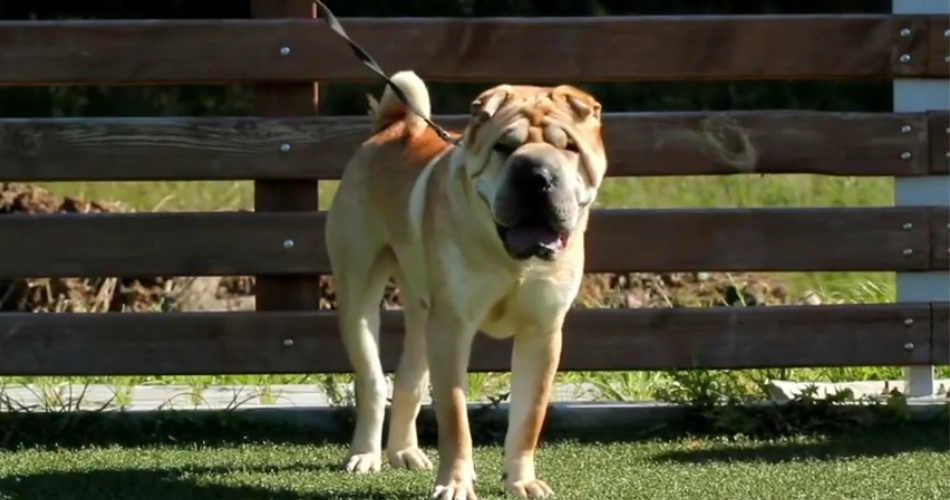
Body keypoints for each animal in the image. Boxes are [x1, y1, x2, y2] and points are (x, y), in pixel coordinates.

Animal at [328, 70, 608, 500]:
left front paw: (522, 481)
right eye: (504, 147)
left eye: (569, 147)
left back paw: (405, 453)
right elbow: (455, 416)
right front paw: (455, 484)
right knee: (372, 378)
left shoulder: (542, 333)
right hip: (359, 290)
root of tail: (394, 126)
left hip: (422, 310)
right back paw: (365, 456)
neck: (510, 258)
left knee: (410, 376)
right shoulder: (453, 327)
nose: (537, 174)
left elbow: (529, 416)